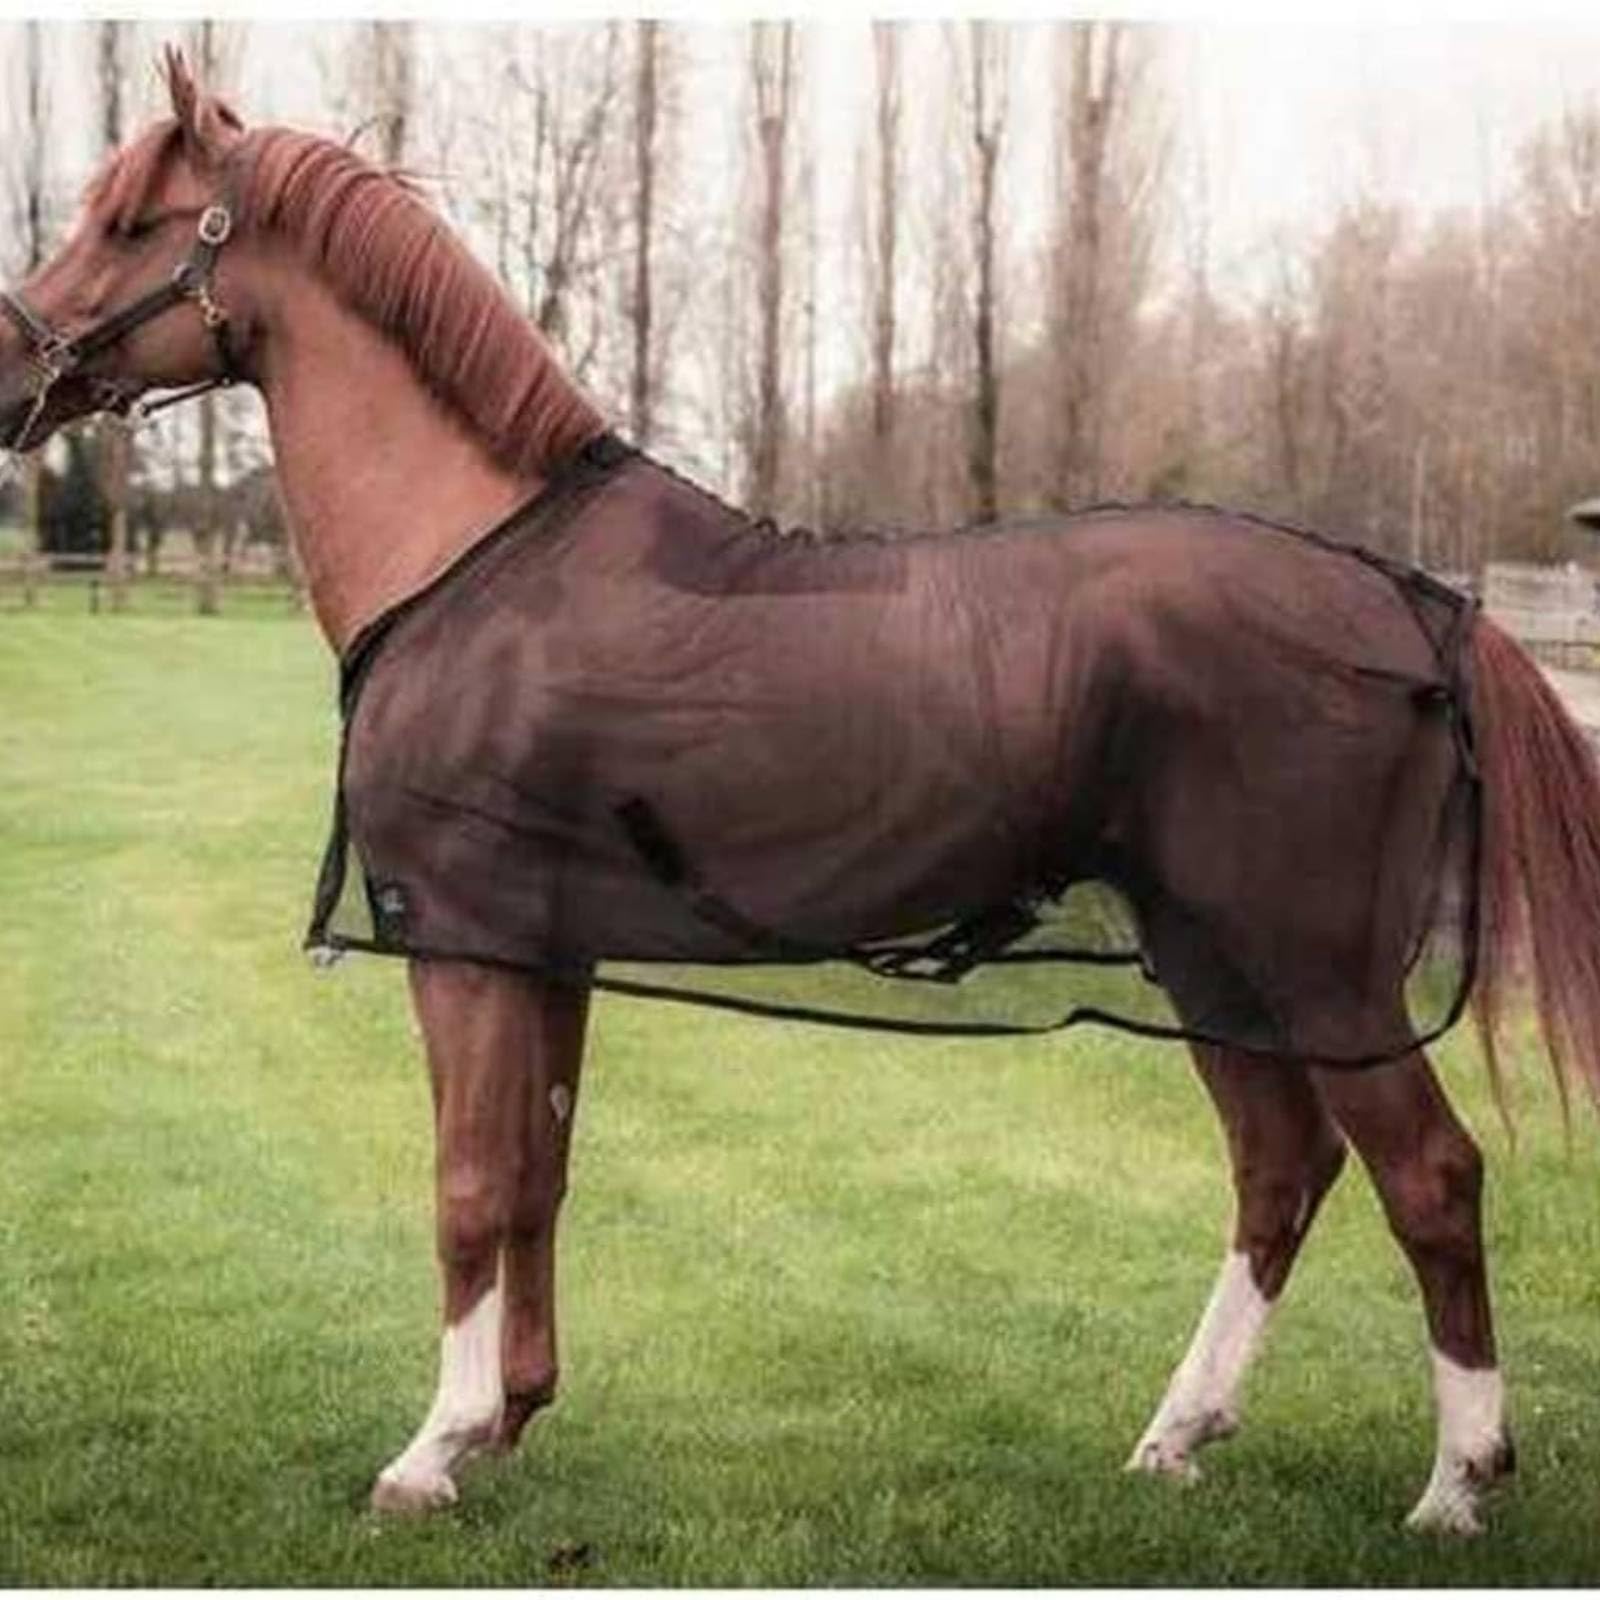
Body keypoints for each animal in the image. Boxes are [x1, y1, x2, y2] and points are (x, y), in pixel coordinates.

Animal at [5, 51, 1600, 1539]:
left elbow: (466, 1182)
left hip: (1315, 967)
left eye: (130, 220)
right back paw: (1176, 1436)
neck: (474, 561)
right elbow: (536, 1174)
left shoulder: (462, 944)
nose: (12, 372)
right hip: (1207, 956)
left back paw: (1457, 1482)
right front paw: (511, 1418)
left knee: (1430, 1177)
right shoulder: (547, 952)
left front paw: (429, 1452)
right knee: (1281, 1168)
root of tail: (1410, 600)